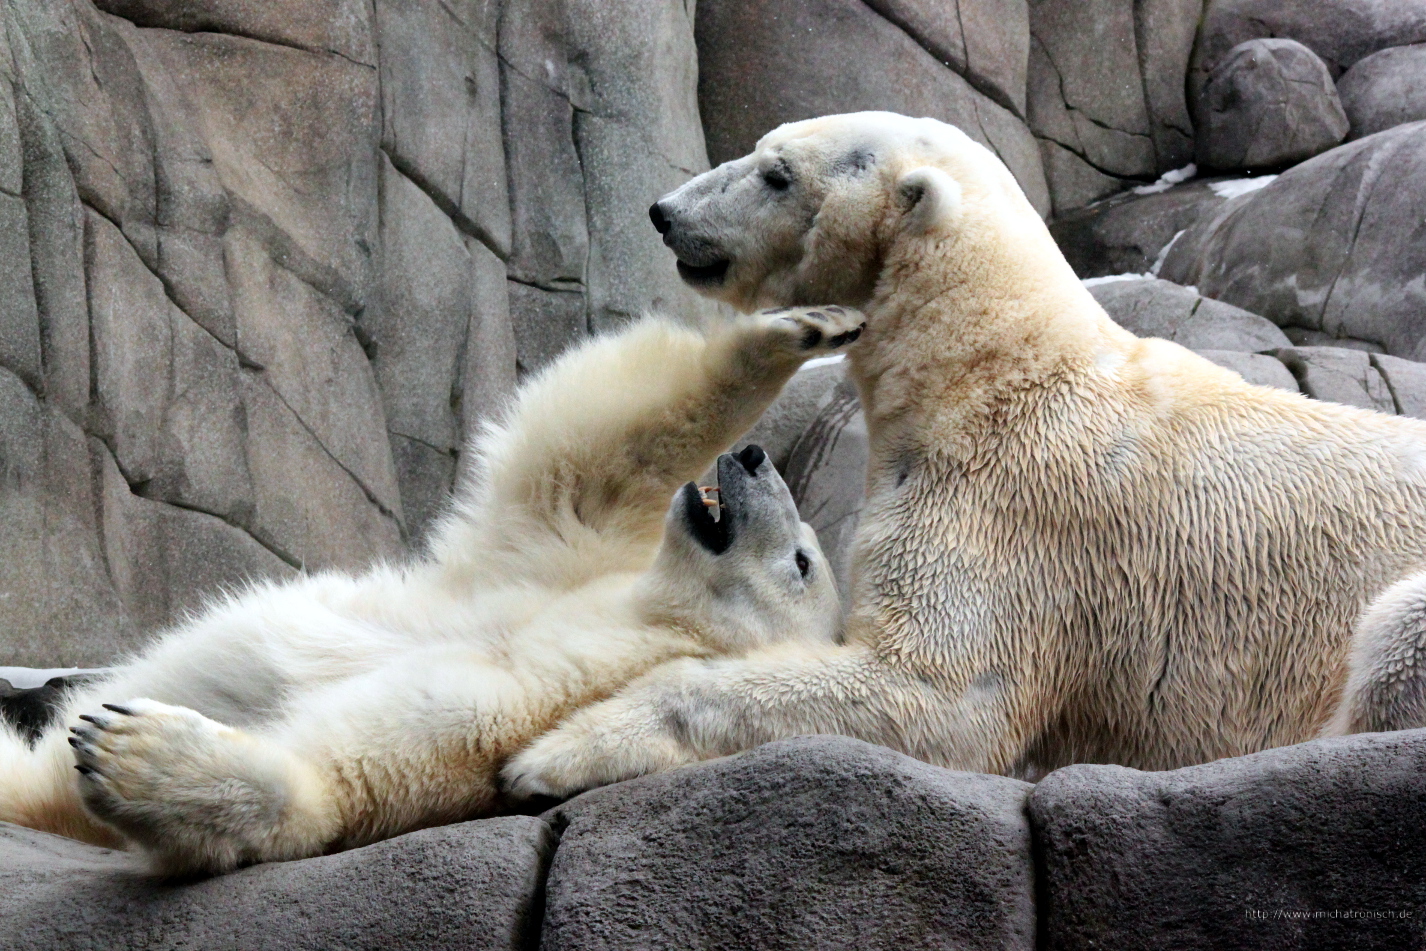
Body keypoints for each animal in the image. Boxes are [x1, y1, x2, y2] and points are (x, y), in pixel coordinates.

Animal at [0, 306, 861, 878]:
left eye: (802, 560)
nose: (754, 458)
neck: (627, 622)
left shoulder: (496, 720)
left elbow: (346, 778)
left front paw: (135, 750)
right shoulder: (553, 564)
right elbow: (593, 457)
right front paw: (804, 325)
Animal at [504, 109, 1426, 798]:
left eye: (777, 172)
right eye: (766, 148)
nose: (665, 212)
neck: (990, 365)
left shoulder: (1016, 513)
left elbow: (938, 694)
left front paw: (551, 751)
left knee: (1391, 639)